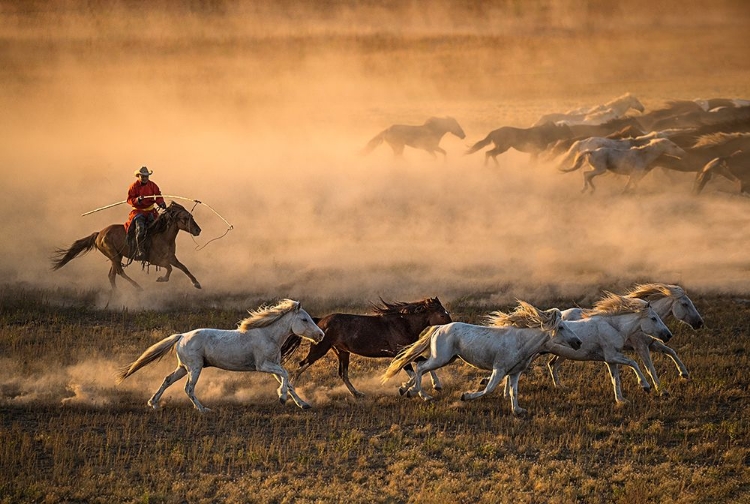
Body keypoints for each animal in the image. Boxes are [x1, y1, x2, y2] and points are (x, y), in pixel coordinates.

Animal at [119, 302, 324, 412]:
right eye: (304, 319)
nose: (321, 335)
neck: (267, 335)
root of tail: (182, 336)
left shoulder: (273, 365)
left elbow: (288, 382)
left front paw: (303, 404)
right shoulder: (263, 365)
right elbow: (286, 376)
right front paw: (281, 398)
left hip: (183, 368)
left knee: (168, 379)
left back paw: (153, 403)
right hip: (194, 368)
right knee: (188, 388)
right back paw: (203, 410)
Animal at [284, 296, 452, 398]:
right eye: (442, 315)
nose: (452, 326)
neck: (403, 324)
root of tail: (320, 322)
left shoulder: (408, 352)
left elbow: (423, 364)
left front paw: (436, 386)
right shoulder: (399, 353)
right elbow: (414, 373)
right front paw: (413, 392)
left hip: (343, 352)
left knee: (343, 374)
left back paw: (357, 394)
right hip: (319, 350)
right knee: (301, 366)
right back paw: (293, 394)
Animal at [384, 302, 584, 416]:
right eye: (561, 327)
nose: (578, 342)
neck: (520, 342)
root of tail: (439, 327)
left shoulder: (515, 373)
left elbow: (513, 392)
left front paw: (518, 410)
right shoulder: (499, 369)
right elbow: (488, 389)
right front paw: (465, 396)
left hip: (447, 358)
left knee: (419, 365)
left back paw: (406, 389)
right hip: (441, 358)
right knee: (420, 368)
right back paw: (420, 394)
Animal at [560, 284, 704, 394]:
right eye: (685, 304)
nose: (699, 323)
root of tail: (562, 314)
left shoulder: (652, 344)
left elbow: (671, 352)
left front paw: (684, 374)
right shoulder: (642, 347)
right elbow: (650, 368)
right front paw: (661, 391)